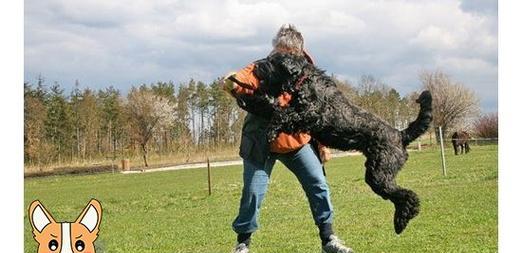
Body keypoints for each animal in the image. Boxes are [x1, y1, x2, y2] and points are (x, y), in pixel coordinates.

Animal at [231, 52, 430, 234]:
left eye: (271, 61)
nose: (255, 67)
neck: (304, 80)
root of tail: (401, 134)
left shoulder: (310, 114)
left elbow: (282, 114)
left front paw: (271, 129)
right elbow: (273, 108)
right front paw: (247, 98)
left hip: (380, 174)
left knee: (408, 196)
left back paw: (401, 221)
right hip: (377, 175)